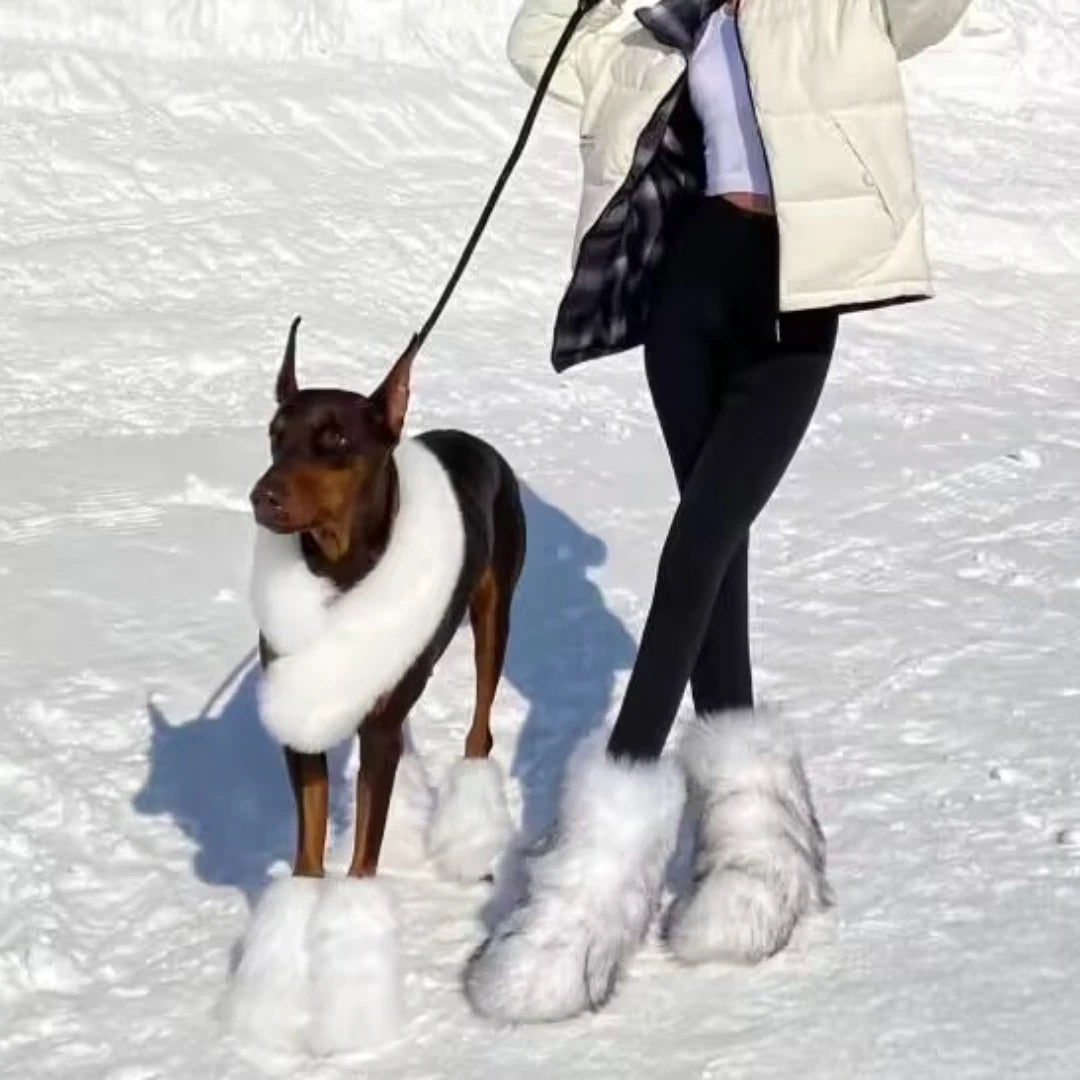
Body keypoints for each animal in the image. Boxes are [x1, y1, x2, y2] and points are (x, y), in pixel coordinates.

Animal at [248, 319, 527, 885]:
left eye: (335, 438)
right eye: (274, 434)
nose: (261, 498)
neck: (337, 573)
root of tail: (478, 443)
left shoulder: (380, 734)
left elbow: (363, 859)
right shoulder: (300, 718)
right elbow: (309, 853)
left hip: (494, 610)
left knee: (480, 723)